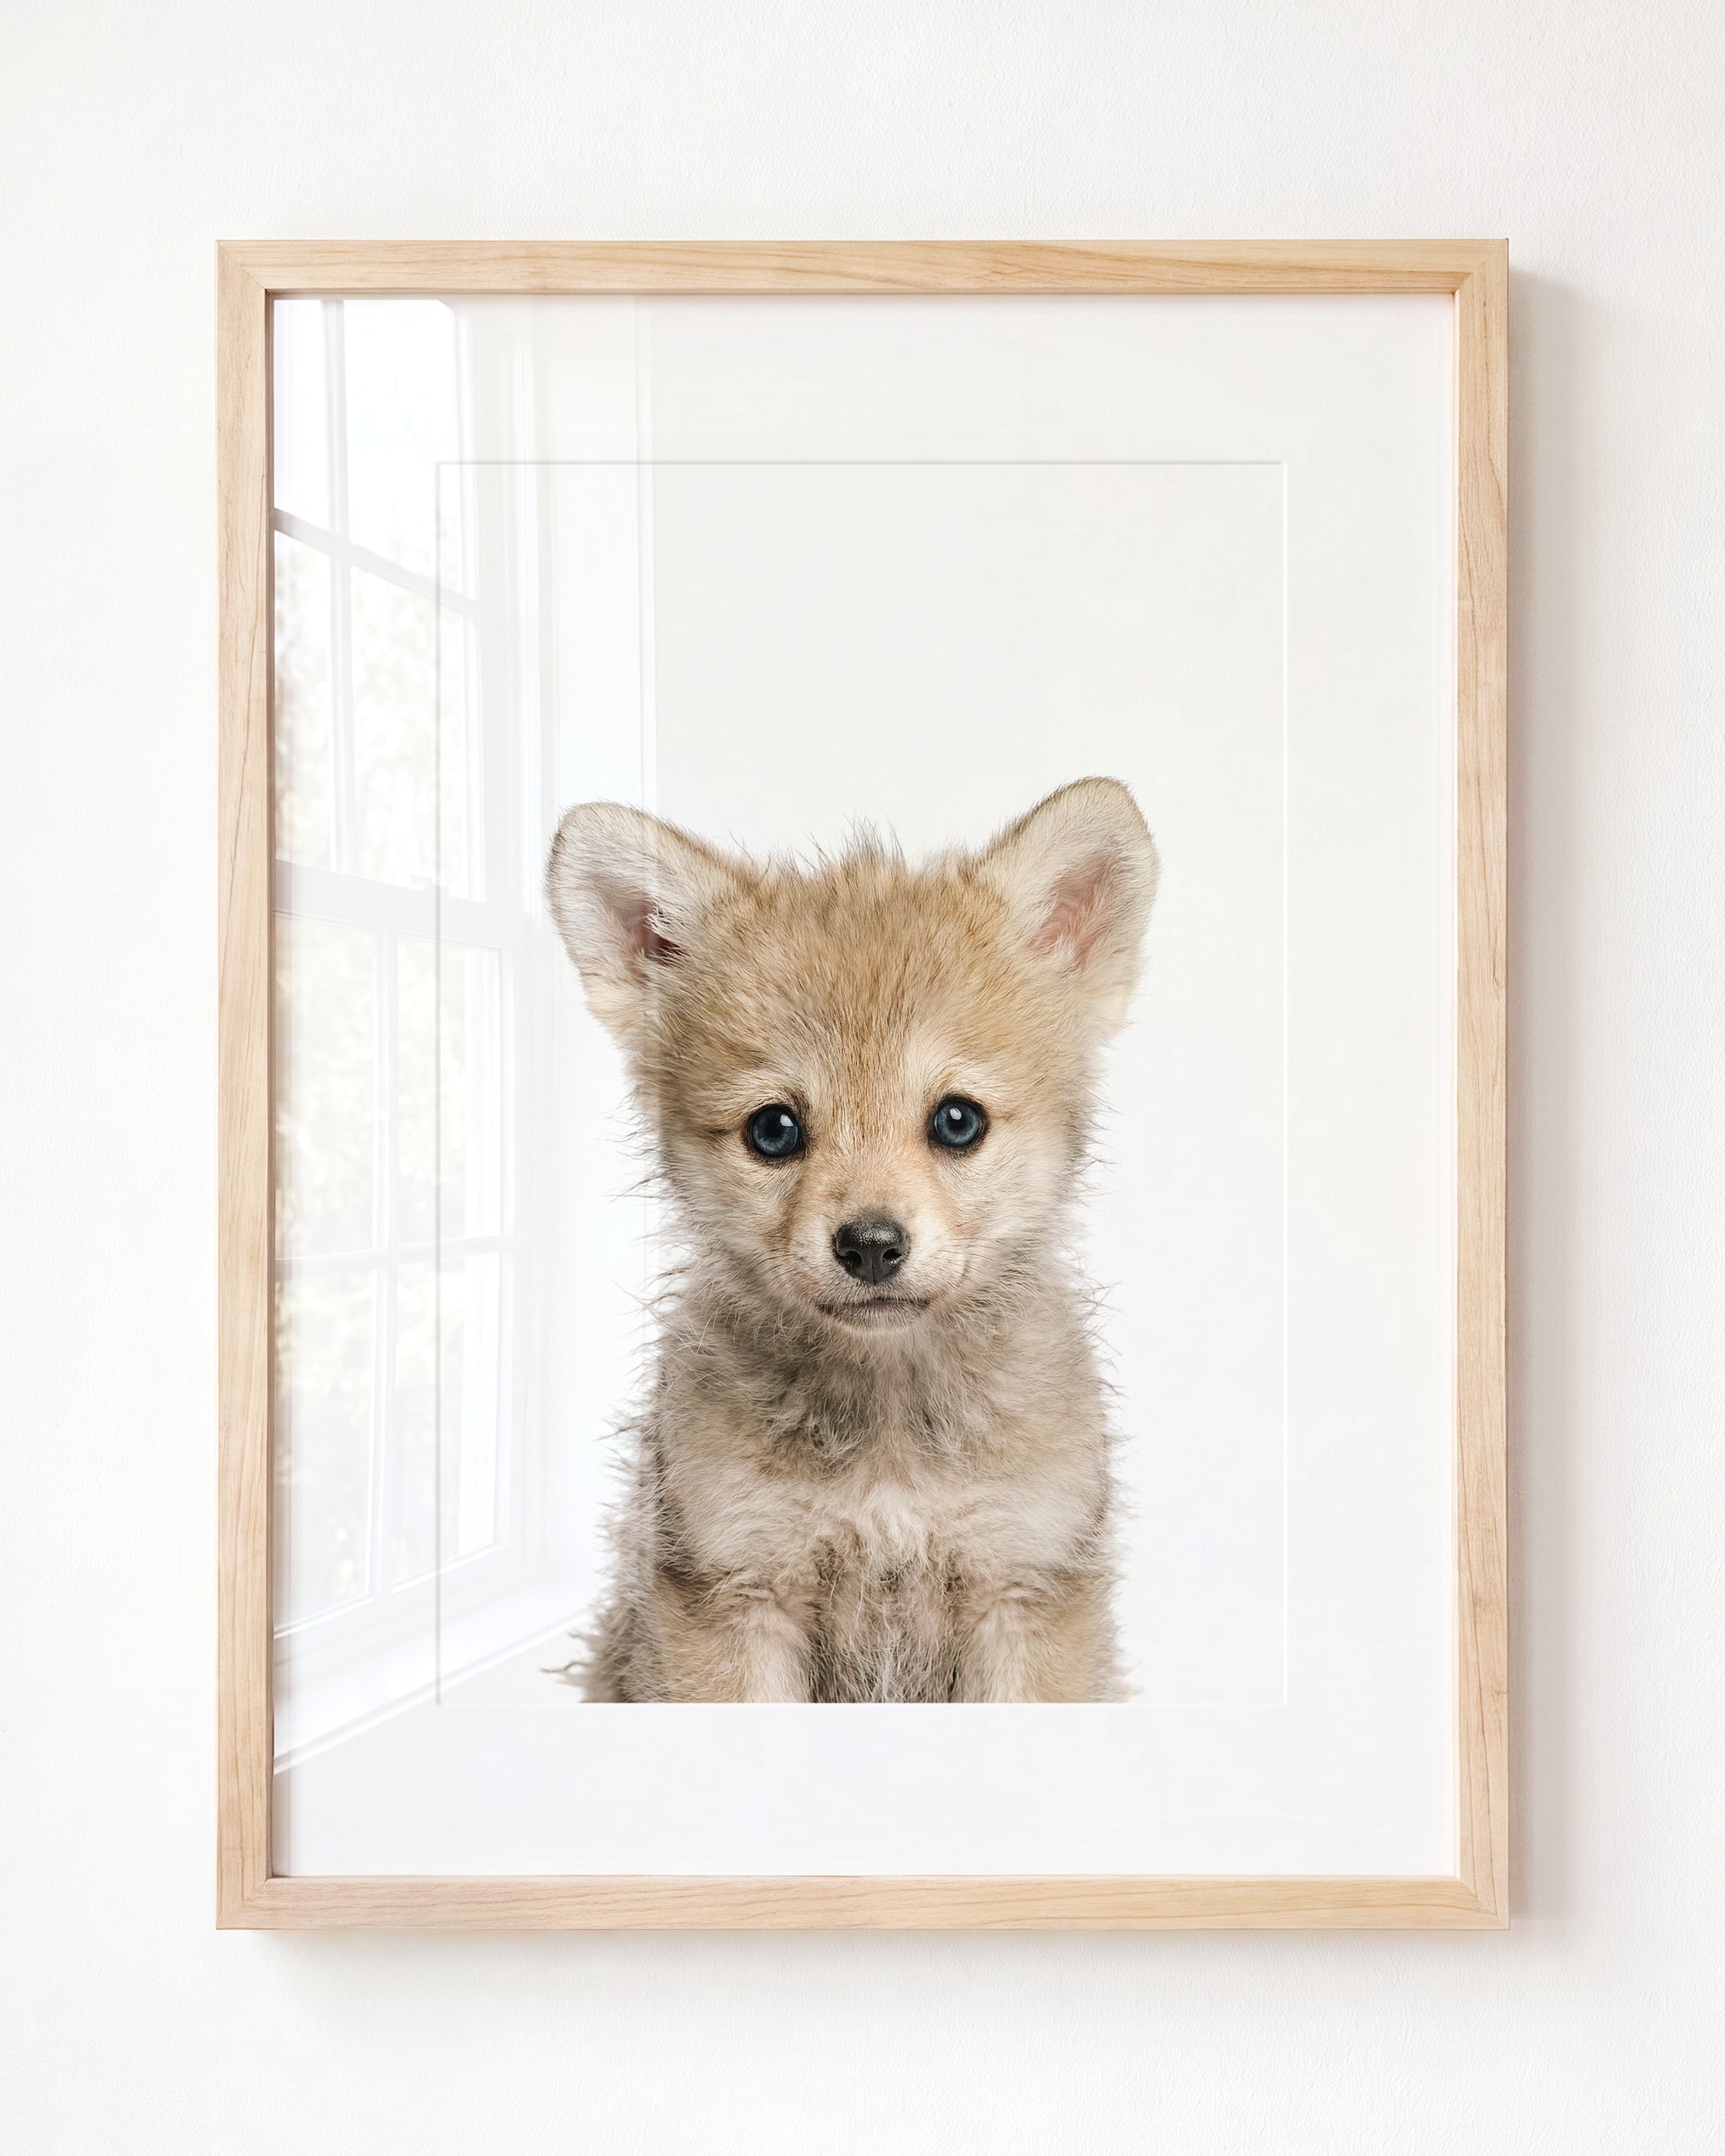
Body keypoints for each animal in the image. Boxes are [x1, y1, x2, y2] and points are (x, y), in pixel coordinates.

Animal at [545, 777, 1159, 1702]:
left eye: (957, 1121)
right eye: (773, 1131)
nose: (871, 1245)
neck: (889, 1442)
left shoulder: (1023, 1589)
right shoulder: (736, 1594)